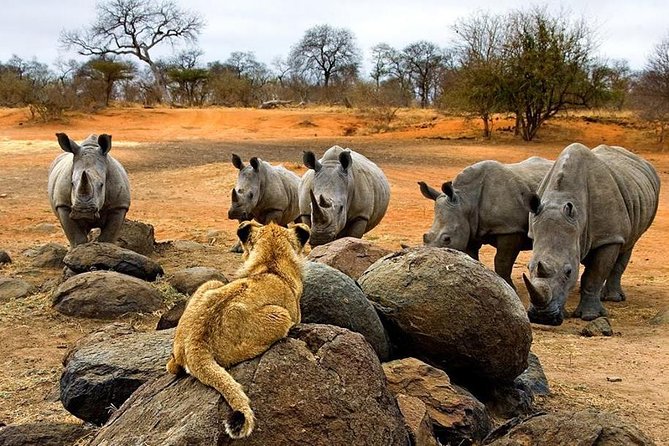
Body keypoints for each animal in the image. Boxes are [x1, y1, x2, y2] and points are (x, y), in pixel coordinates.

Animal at [419, 156, 552, 288]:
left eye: (447, 239)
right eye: (425, 237)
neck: (466, 200)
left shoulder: (510, 228)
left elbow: (502, 262)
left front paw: (509, 286)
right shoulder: (471, 230)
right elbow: (472, 258)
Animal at [524, 143, 660, 326]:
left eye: (568, 271)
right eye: (528, 267)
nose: (541, 317)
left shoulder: (609, 237)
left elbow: (594, 274)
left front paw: (590, 316)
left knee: (629, 243)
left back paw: (613, 298)